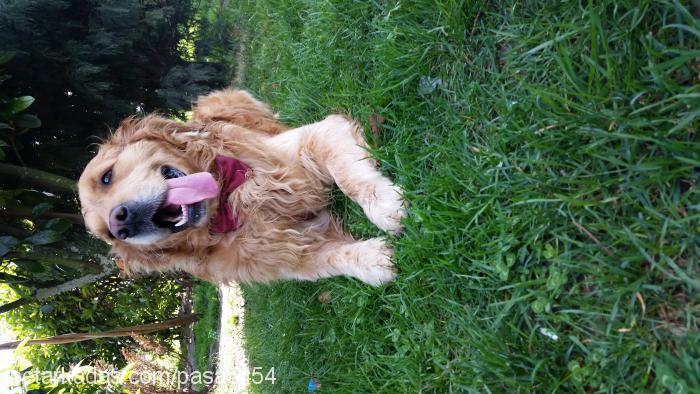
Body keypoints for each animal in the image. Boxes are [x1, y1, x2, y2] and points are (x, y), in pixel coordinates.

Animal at [78, 90, 404, 286]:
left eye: (106, 177)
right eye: (109, 236)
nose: (121, 223)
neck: (228, 203)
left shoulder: (317, 135)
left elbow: (351, 179)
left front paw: (388, 207)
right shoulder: (282, 256)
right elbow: (329, 258)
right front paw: (374, 259)